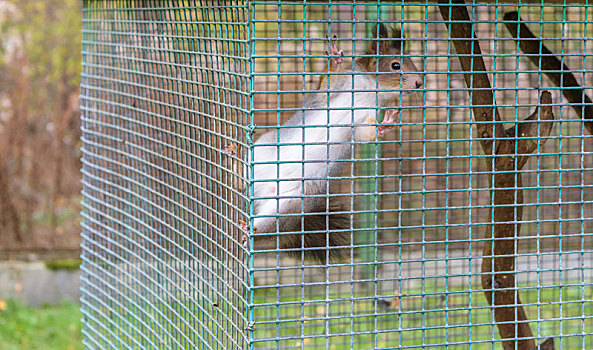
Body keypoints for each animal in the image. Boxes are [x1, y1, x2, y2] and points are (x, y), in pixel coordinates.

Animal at [234, 24, 424, 262]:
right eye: (395, 65)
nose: (419, 82)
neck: (369, 89)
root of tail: (261, 188)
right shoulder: (338, 86)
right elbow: (326, 80)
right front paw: (334, 57)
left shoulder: (365, 119)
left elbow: (367, 132)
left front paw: (385, 125)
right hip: (262, 149)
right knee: (241, 177)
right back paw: (236, 165)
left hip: (290, 204)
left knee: (267, 226)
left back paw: (249, 231)